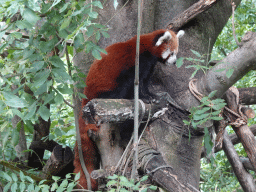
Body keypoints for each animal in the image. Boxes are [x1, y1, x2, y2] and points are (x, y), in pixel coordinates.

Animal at [73, 28, 184, 190]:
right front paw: (146, 97)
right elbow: (138, 83)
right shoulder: (138, 62)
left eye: (176, 53)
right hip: (107, 87)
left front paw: (153, 95)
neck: (147, 48)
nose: (174, 62)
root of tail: (86, 100)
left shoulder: (149, 66)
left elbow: (146, 82)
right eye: (171, 53)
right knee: (122, 86)